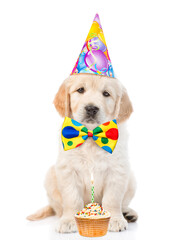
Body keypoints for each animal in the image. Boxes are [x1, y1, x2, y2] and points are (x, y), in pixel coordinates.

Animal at [27, 73, 138, 232]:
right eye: (80, 90)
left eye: (106, 93)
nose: (91, 108)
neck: (91, 134)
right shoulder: (67, 170)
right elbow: (72, 198)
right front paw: (68, 220)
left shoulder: (117, 170)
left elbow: (112, 199)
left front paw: (115, 219)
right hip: (51, 175)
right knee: (58, 209)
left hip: (132, 179)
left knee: (123, 203)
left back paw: (128, 213)